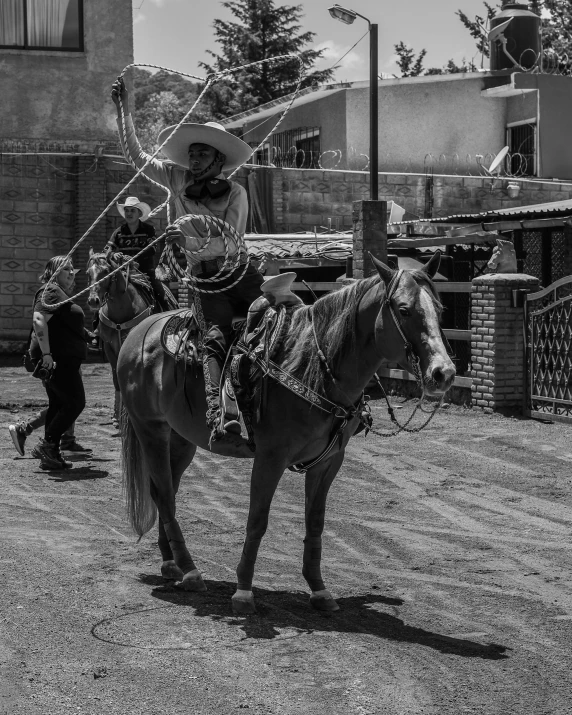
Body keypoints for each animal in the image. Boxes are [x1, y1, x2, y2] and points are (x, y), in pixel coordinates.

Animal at [116, 253, 456, 616]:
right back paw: (191, 571)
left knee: (163, 491)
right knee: (165, 494)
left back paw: (172, 563)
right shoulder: (271, 456)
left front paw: (319, 590)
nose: (444, 373)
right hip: (150, 428)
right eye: (404, 310)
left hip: (180, 438)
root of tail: (139, 332)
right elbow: (257, 519)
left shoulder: (329, 461)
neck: (313, 365)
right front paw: (244, 592)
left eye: (440, 308)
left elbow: (315, 522)